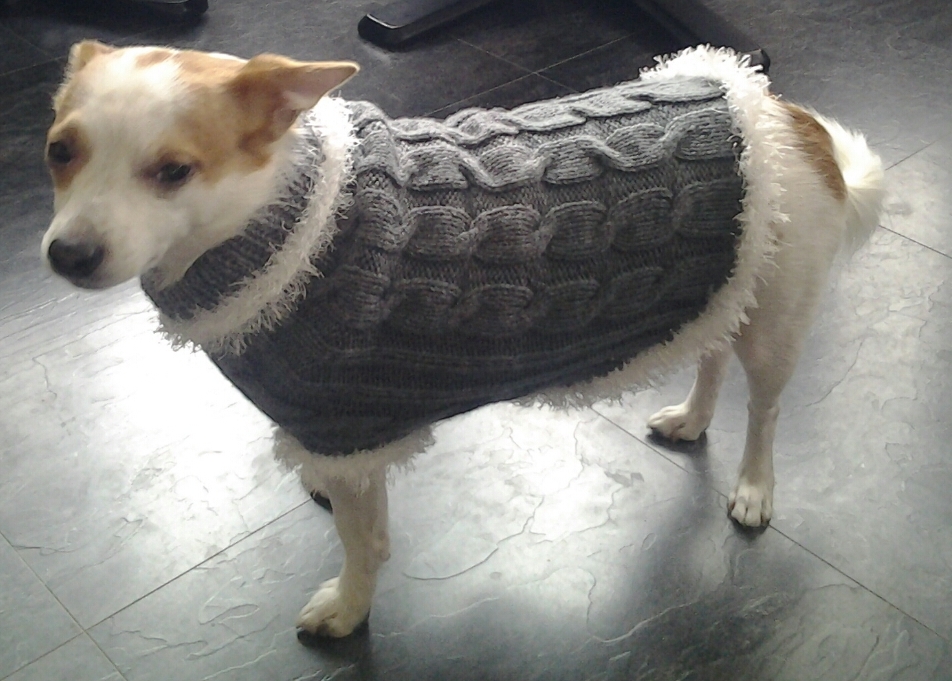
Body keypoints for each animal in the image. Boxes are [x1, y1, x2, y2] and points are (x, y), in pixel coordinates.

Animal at [41, 41, 884, 638]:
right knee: (711, 354)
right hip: (723, 283)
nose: (67, 254)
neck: (282, 218)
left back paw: (754, 485)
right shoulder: (338, 436)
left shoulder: (349, 426)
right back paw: (693, 417)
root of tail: (788, 115)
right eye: (59, 150)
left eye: (174, 171)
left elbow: (364, 543)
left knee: (766, 409)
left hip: (777, 320)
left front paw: (348, 607)